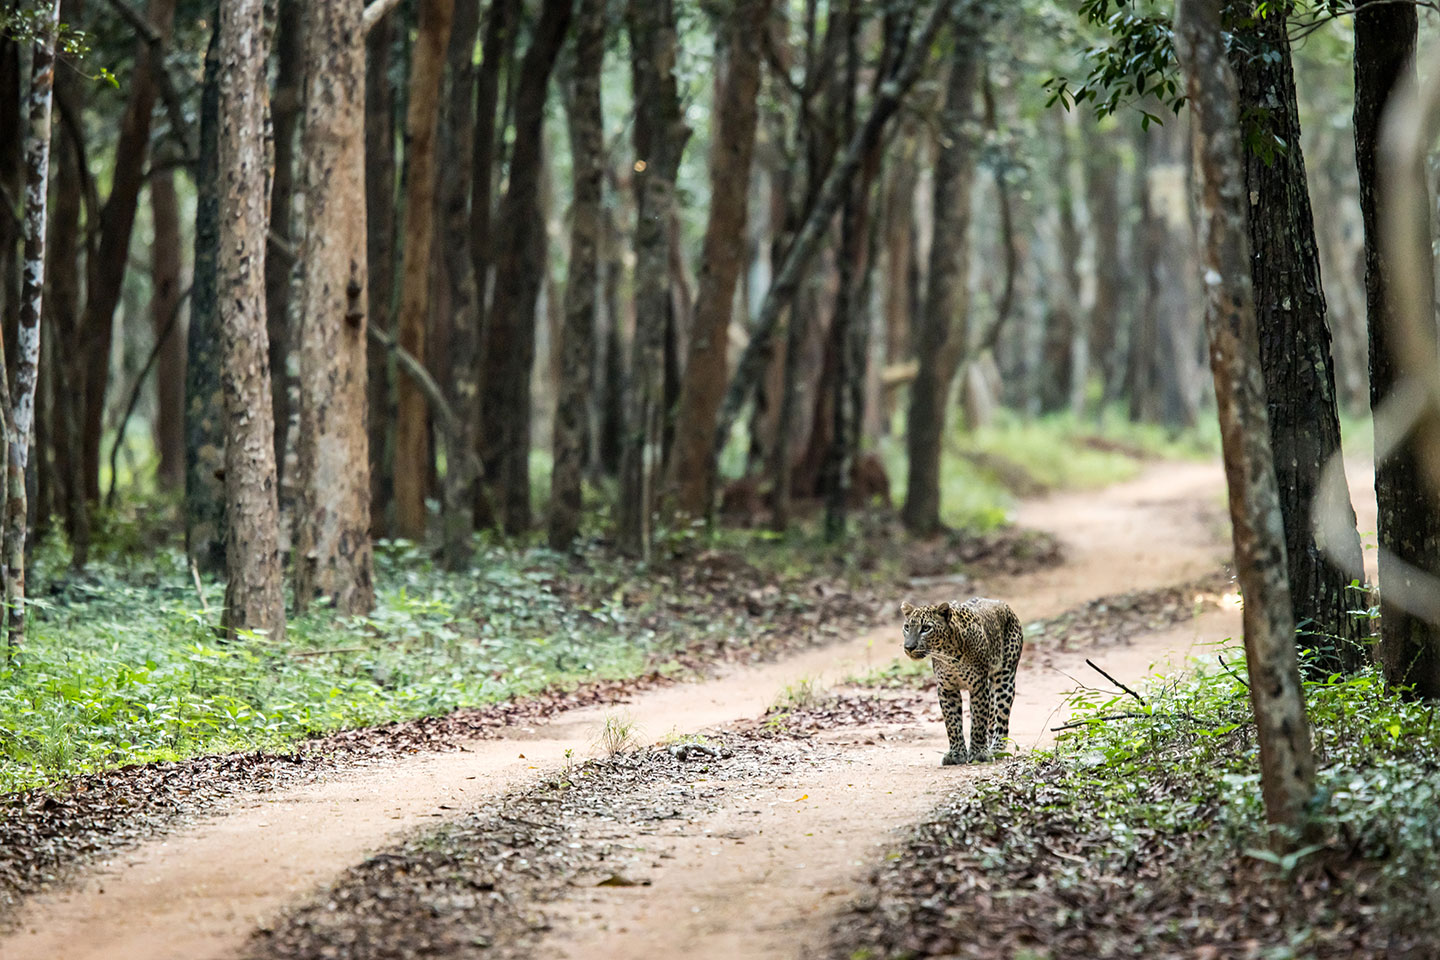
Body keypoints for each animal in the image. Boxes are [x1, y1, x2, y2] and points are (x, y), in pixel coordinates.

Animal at [900, 598, 1024, 766]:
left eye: (926, 628)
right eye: (907, 627)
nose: (909, 647)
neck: (948, 654)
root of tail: (1002, 604)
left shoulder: (978, 687)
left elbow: (978, 720)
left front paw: (978, 753)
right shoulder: (946, 689)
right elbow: (952, 723)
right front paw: (956, 754)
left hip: (1005, 678)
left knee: (1001, 718)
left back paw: (996, 748)